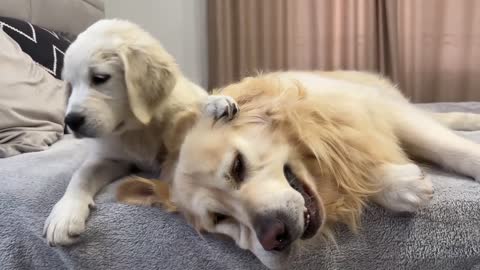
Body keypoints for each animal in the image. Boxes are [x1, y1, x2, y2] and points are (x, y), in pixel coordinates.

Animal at [43, 19, 236, 246]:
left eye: (100, 78)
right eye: (70, 86)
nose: (70, 121)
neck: (136, 128)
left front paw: (213, 104)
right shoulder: (110, 158)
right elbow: (81, 175)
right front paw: (64, 214)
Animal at [116, 70, 480, 268]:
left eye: (237, 166)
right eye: (220, 219)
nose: (273, 237)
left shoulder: (371, 113)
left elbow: (448, 148)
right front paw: (399, 185)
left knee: (439, 120)